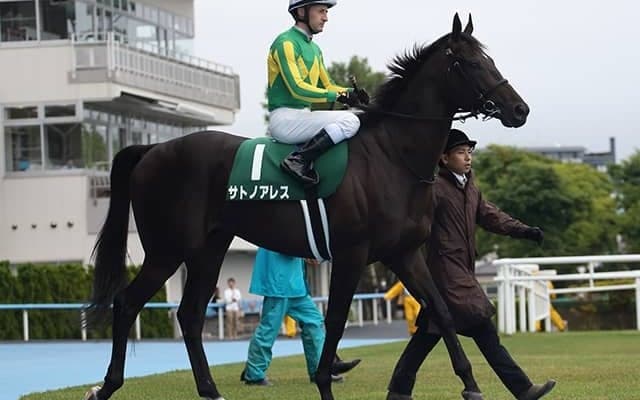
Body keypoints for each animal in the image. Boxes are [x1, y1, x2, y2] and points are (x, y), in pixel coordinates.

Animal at [84, 13, 528, 400]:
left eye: (490, 59)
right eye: (473, 63)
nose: (520, 110)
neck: (392, 157)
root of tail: (153, 149)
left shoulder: (404, 253)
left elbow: (442, 311)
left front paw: (471, 384)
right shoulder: (352, 255)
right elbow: (335, 320)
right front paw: (325, 383)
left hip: (209, 249)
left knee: (190, 316)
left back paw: (210, 390)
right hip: (167, 249)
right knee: (127, 303)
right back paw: (105, 386)